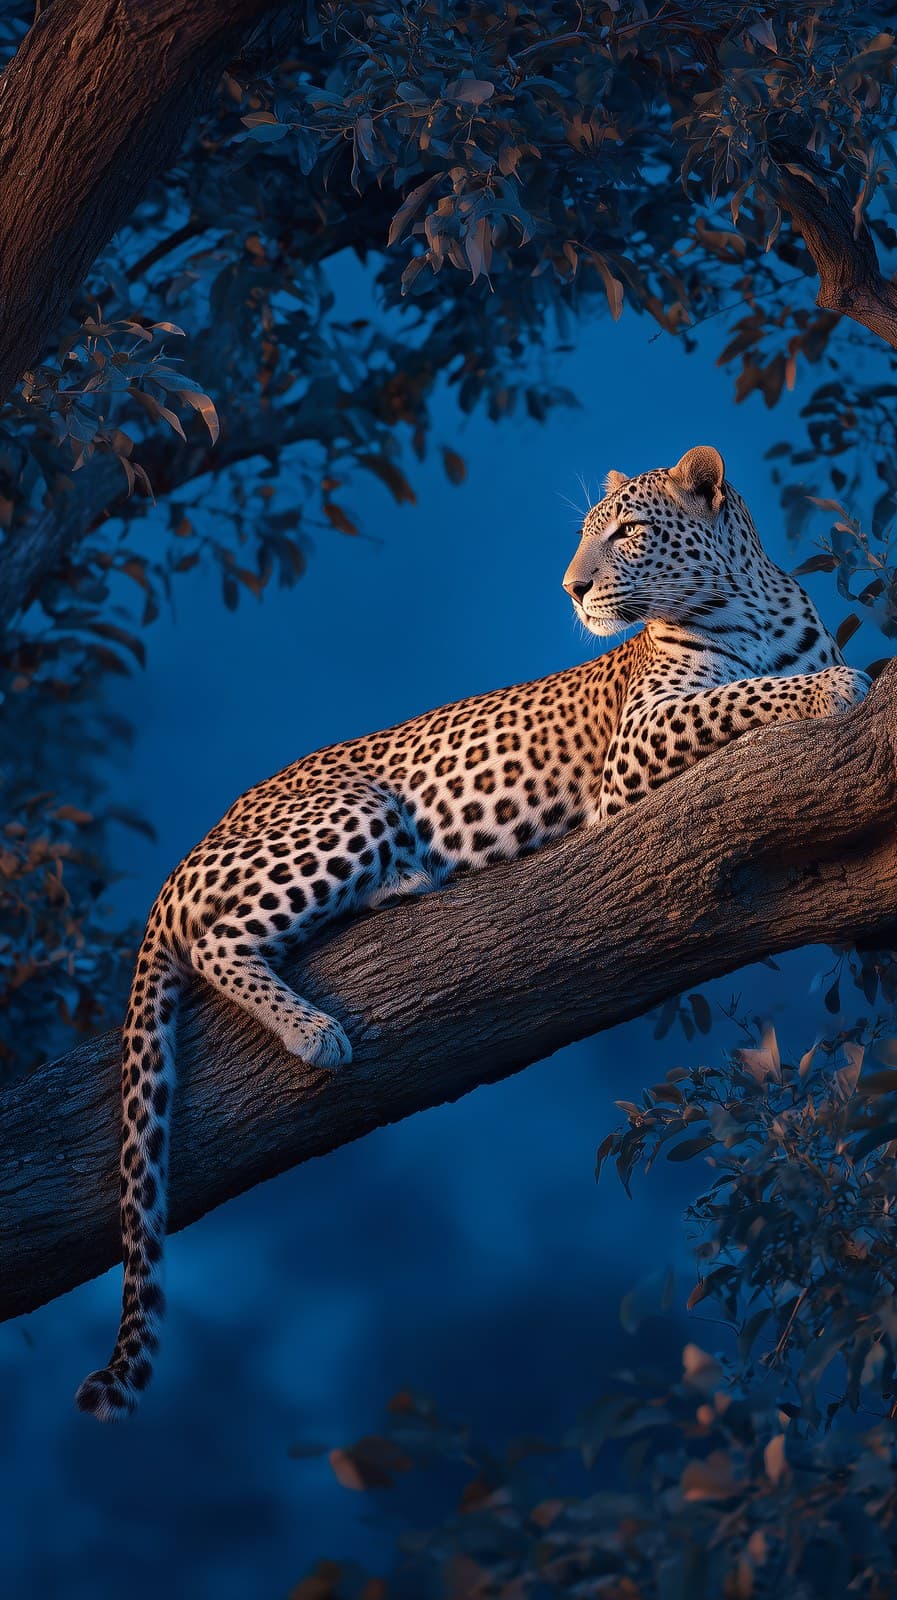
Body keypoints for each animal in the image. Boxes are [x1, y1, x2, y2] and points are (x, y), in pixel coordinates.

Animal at [76, 445, 868, 1420]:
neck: (743, 603)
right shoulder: (641, 743)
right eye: (586, 535)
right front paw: (832, 687)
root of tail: (185, 858)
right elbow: (750, 696)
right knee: (218, 940)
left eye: (626, 532)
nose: (571, 588)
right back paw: (315, 1030)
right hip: (350, 810)